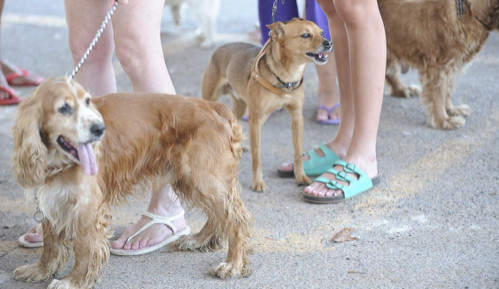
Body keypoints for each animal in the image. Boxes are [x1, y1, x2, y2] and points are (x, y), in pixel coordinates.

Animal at [11, 77, 254, 288]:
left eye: (87, 101)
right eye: (64, 108)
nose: (100, 129)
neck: (58, 160)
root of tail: (215, 107)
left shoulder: (87, 207)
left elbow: (84, 248)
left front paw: (73, 281)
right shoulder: (53, 199)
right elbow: (50, 244)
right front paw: (39, 271)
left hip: (204, 177)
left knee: (237, 220)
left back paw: (232, 264)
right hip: (191, 179)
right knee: (217, 215)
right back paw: (199, 240)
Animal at [201, 16, 334, 190]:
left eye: (322, 32)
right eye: (305, 35)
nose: (329, 42)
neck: (287, 76)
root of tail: (219, 49)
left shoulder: (297, 117)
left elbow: (298, 153)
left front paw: (301, 176)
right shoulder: (256, 121)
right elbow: (257, 156)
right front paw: (257, 182)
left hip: (241, 106)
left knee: (232, 121)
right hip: (210, 98)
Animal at [380, 0, 498, 129]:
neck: (467, 10)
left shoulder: (448, 65)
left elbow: (446, 90)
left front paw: (451, 110)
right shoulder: (437, 66)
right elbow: (439, 93)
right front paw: (443, 120)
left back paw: (402, 89)